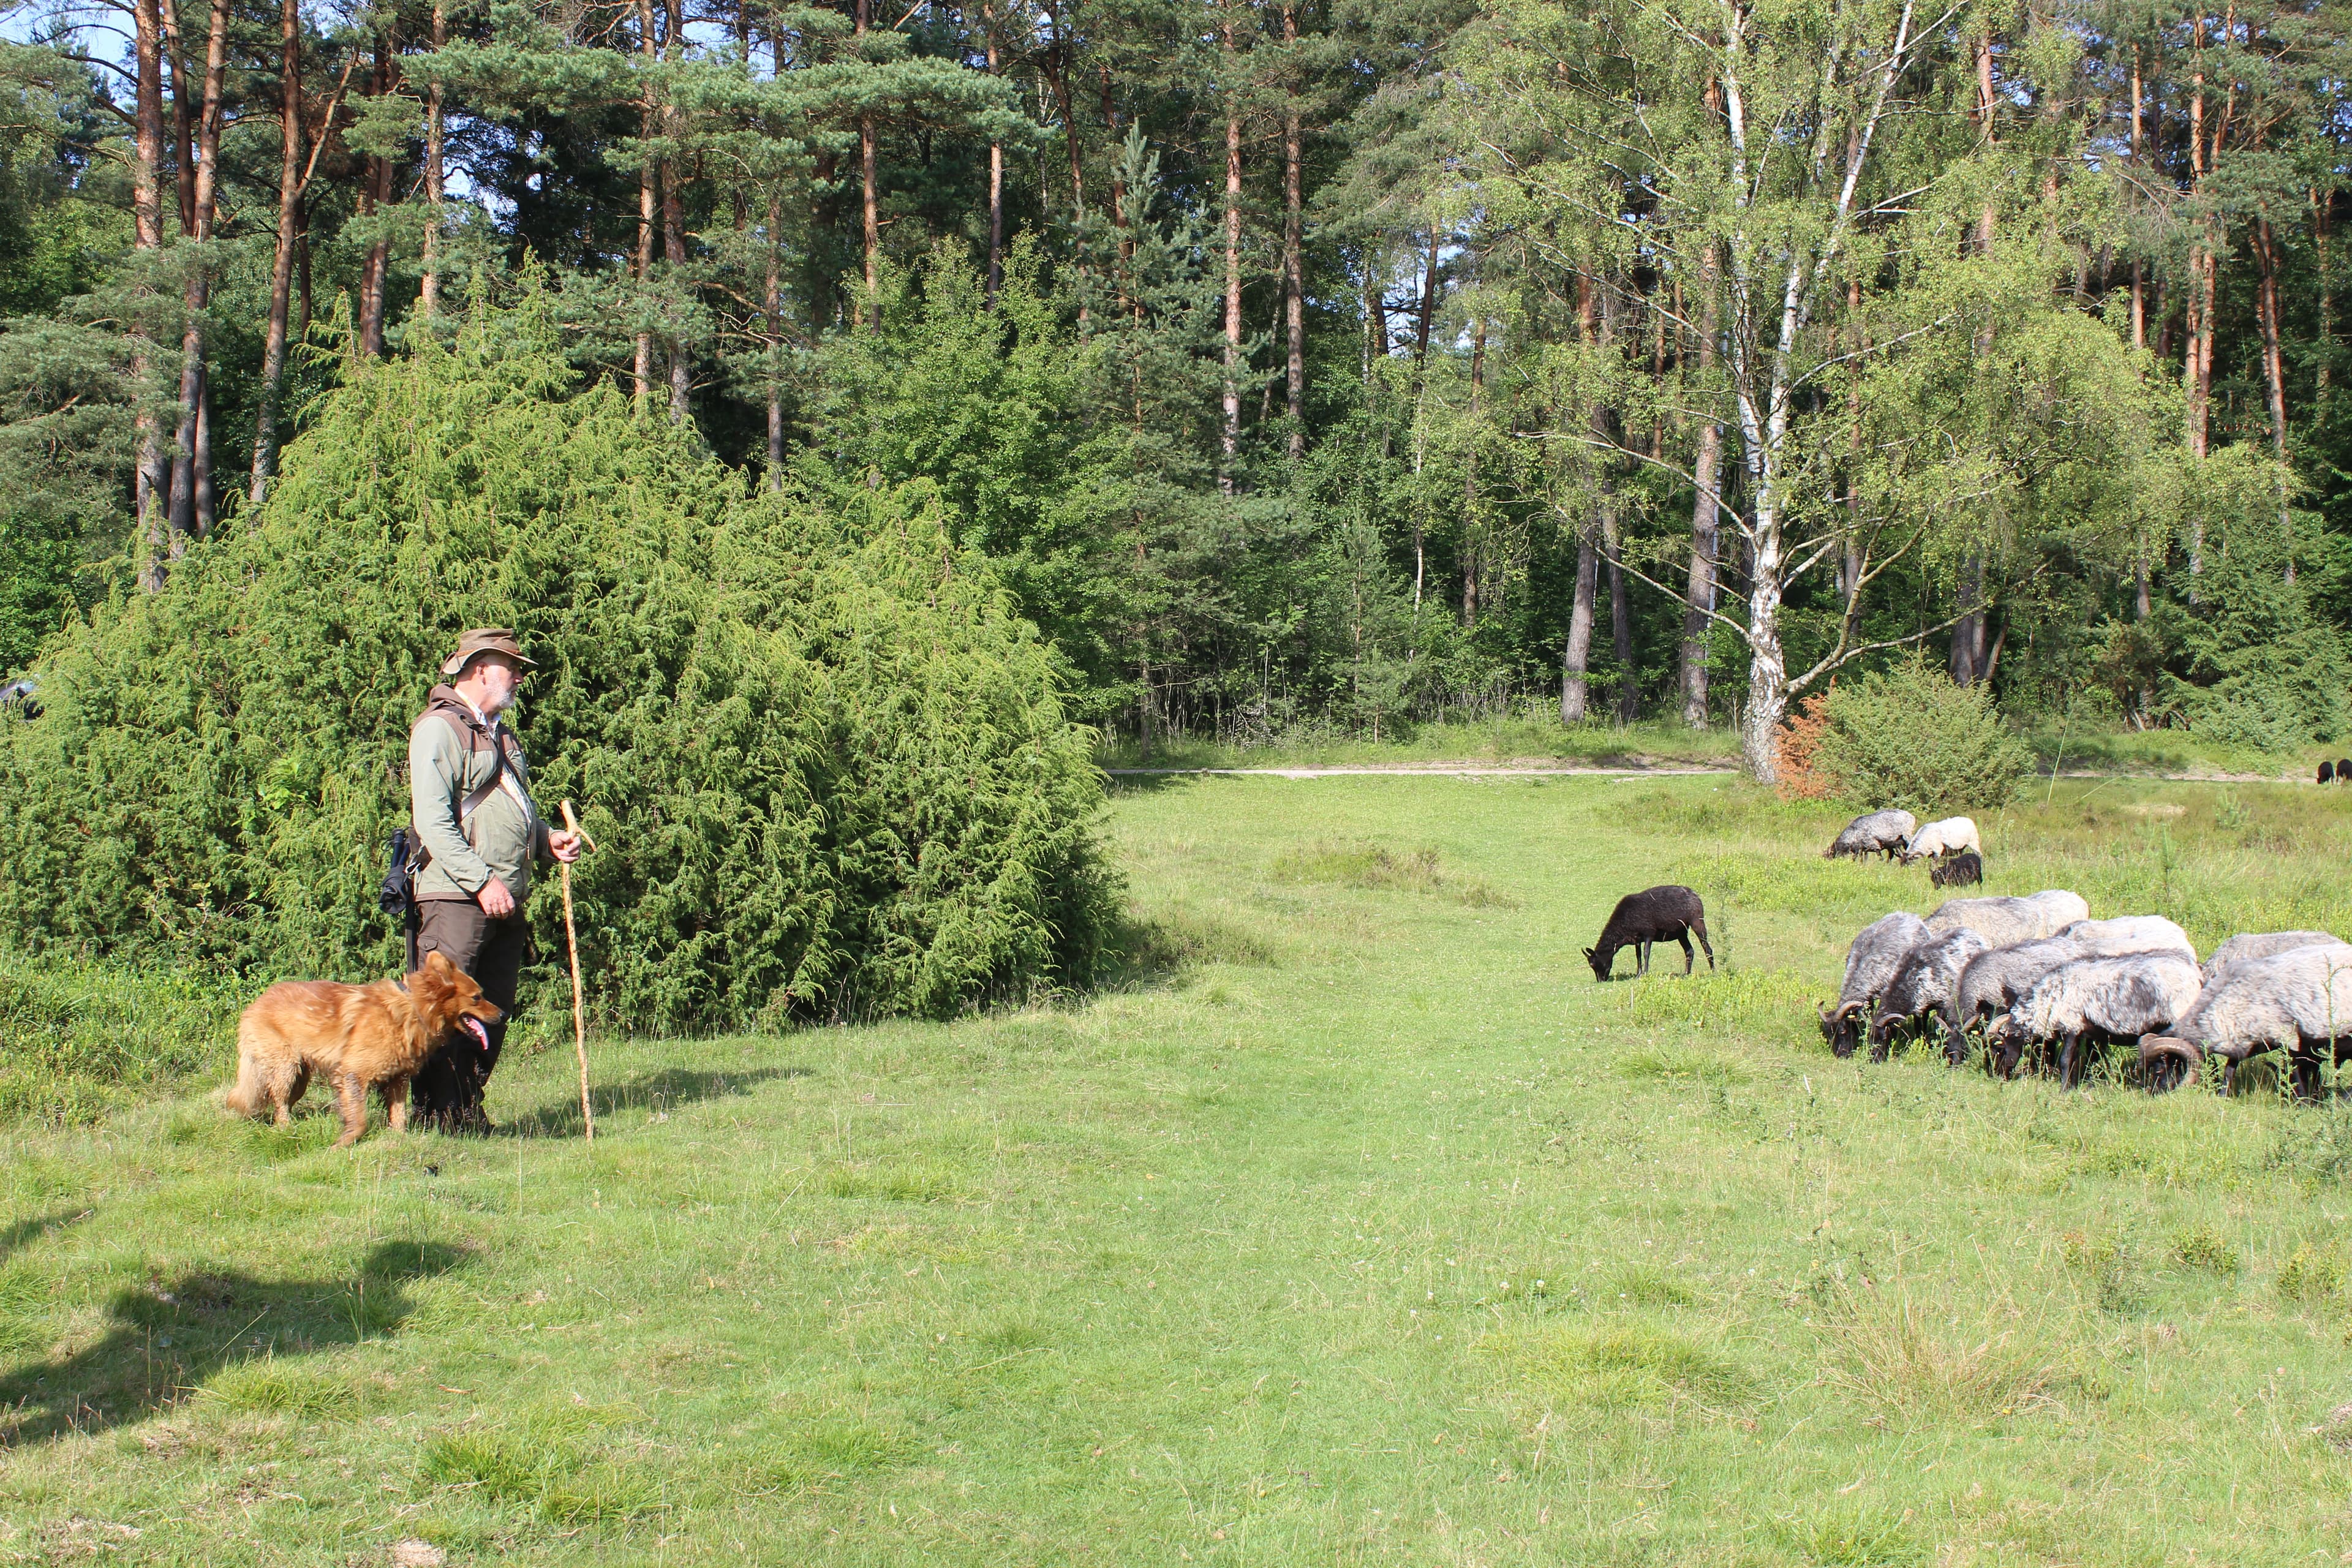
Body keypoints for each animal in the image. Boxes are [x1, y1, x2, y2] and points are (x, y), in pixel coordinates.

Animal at [227, 949, 503, 1147]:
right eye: (477, 997)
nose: (503, 1015)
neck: (413, 1008)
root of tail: (255, 1005)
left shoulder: (398, 1079)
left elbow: (399, 1117)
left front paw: (398, 1141)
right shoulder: (353, 1076)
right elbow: (360, 1121)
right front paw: (342, 1144)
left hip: (300, 1076)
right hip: (287, 1069)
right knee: (279, 1101)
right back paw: (286, 1129)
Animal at [1589, 888, 1721, 973]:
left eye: (1594, 964)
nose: (1601, 980)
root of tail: (1696, 895)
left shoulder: (1649, 933)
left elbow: (1646, 953)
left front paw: (1646, 972)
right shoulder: (1637, 938)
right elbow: (1638, 955)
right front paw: (1639, 973)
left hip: (1697, 921)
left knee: (1707, 949)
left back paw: (1713, 971)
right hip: (1681, 932)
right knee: (1690, 951)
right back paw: (1686, 974)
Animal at [1891, 818, 1985, 865]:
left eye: (1909, 863)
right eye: (1901, 863)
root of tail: (1969, 820)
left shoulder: (1938, 851)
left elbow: (1934, 864)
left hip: (1974, 842)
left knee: (1980, 855)